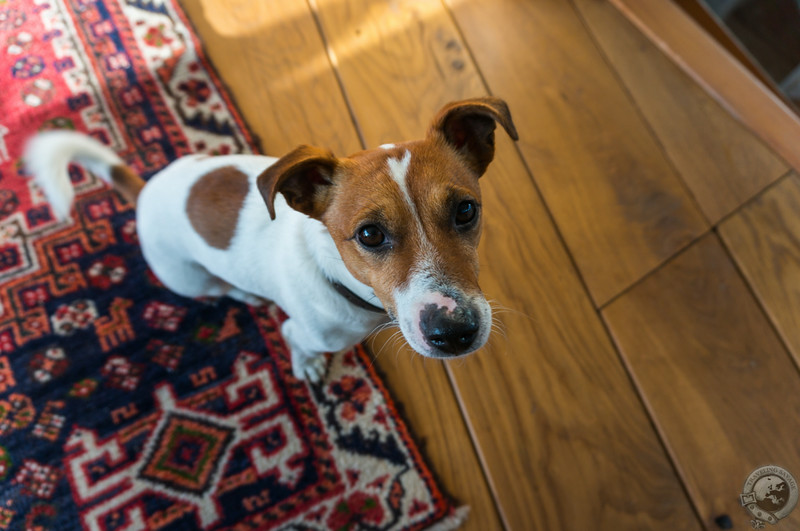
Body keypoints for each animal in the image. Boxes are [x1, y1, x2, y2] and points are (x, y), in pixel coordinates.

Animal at [25, 96, 520, 382]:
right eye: (369, 234)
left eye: (465, 210)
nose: (454, 333)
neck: (335, 276)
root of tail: (145, 190)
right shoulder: (302, 330)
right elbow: (296, 343)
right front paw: (306, 366)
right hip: (188, 278)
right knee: (217, 287)